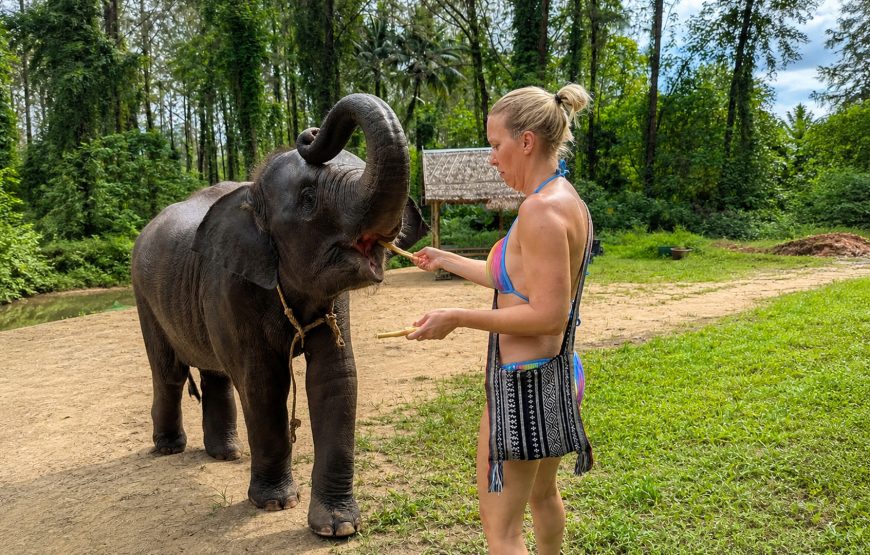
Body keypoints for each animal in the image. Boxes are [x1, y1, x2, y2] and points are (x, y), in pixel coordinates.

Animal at [131, 94, 425, 537]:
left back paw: (227, 454)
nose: (310, 132)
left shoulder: (332, 303)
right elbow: (263, 382)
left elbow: (335, 377)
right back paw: (169, 448)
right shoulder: (231, 285)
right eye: (308, 198)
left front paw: (338, 527)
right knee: (169, 372)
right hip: (143, 294)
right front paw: (274, 503)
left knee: (214, 375)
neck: (251, 194)